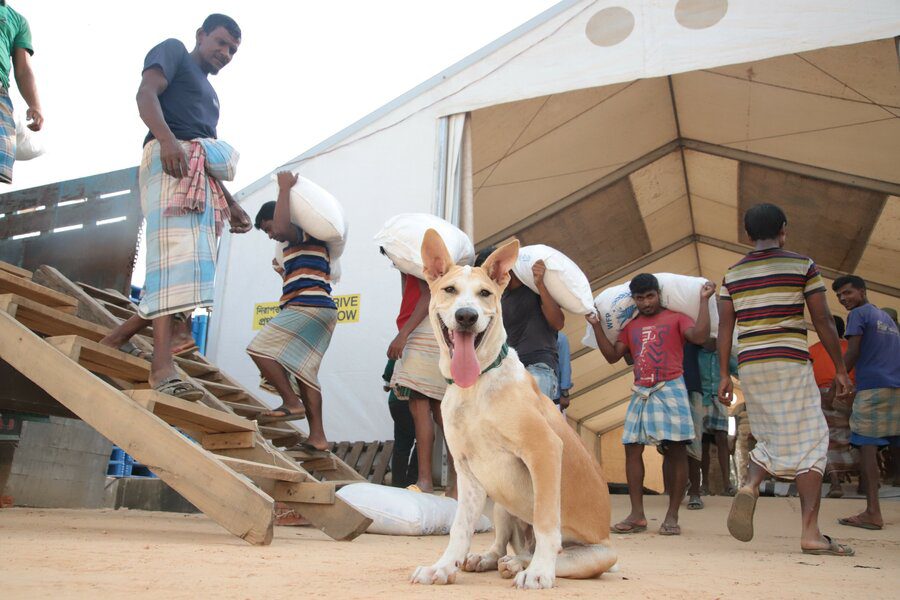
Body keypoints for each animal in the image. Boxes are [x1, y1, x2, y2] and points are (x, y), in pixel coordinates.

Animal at [410, 231, 616, 592]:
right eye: (450, 290)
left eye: (485, 294)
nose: (466, 316)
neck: (476, 385)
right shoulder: (467, 470)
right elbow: (460, 527)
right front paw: (443, 568)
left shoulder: (544, 450)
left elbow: (547, 522)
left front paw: (539, 572)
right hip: (501, 497)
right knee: (503, 542)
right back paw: (490, 558)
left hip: (601, 554)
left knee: (556, 554)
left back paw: (524, 564)